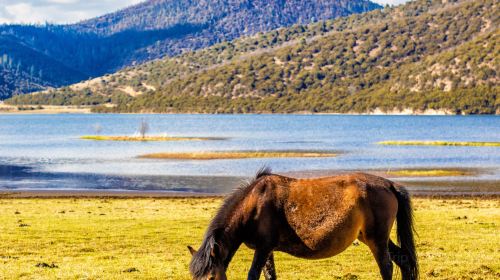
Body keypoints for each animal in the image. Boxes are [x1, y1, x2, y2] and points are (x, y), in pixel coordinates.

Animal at [188, 167, 418, 278]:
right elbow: (270, 276)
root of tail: (389, 185)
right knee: (404, 261)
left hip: (376, 240)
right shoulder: (267, 251)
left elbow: (253, 275)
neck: (253, 205)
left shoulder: (263, 249)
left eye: (211, 278)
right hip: (375, 238)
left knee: (387, 267)